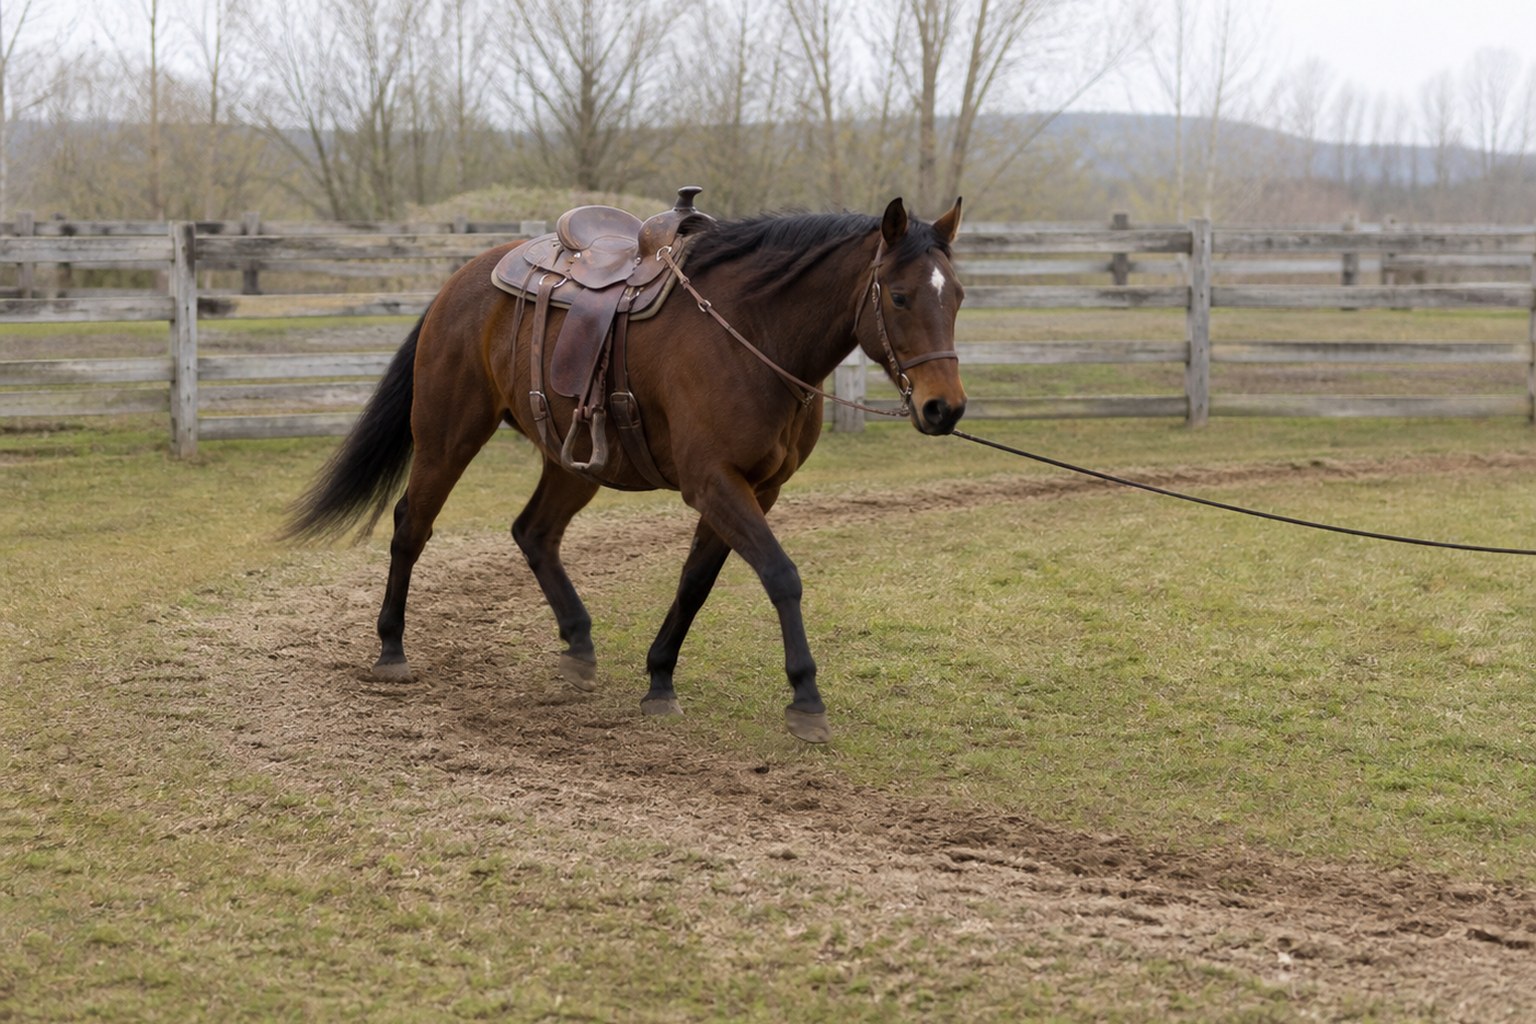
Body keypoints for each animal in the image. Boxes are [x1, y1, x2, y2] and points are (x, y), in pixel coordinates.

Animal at [284, 196, 968, 743]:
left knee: (534, 532)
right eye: (899, 296)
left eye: (957, 296)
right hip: (447, 435)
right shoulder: (714, 483)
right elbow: (781, 575)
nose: (945, 408)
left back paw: (579, 643)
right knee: (411, 526)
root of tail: (463, 280)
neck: (754, 334)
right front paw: (805, 697)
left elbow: (696, 582)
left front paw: (660, 678)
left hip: (572, 460)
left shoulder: (755, 489)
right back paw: (392, 647)